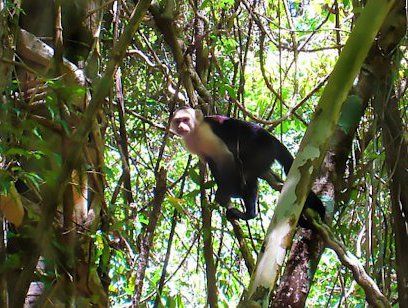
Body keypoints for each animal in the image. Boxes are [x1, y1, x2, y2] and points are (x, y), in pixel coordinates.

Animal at [171, 106, 326, 224]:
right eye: (178, 121)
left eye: (185, 119)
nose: (181, 126)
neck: (195, 132)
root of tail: (271, 138)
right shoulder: (191, 145)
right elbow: (212, 162)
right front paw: (225, 190)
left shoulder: (206, 132)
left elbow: (226, 157)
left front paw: (224, 192)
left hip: (263, 149)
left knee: (247, 173)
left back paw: (249, 212)